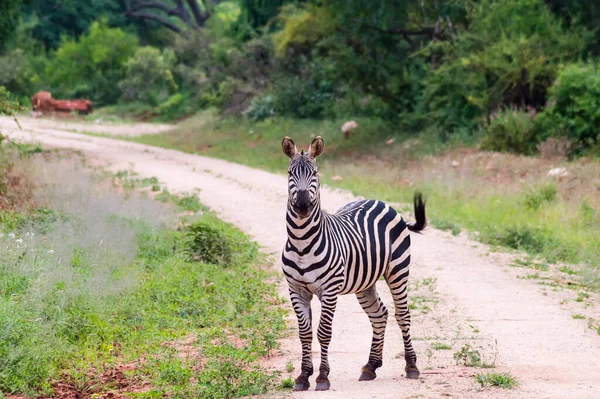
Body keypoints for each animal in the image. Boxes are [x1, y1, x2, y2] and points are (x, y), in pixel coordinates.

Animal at [282, 136, 426, 392]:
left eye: (315, 173)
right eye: (290, 173)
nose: (302, 207)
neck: (301, 243)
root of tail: (379, 201)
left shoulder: (329, 290)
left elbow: (324, 332)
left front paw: (322, 377)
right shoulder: (296, 290)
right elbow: (305, 333)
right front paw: (303, 376)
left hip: (398, 271)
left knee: (402, 315)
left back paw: (411, 366)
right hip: (365, 283)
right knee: (379, 314)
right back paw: (371, 366)